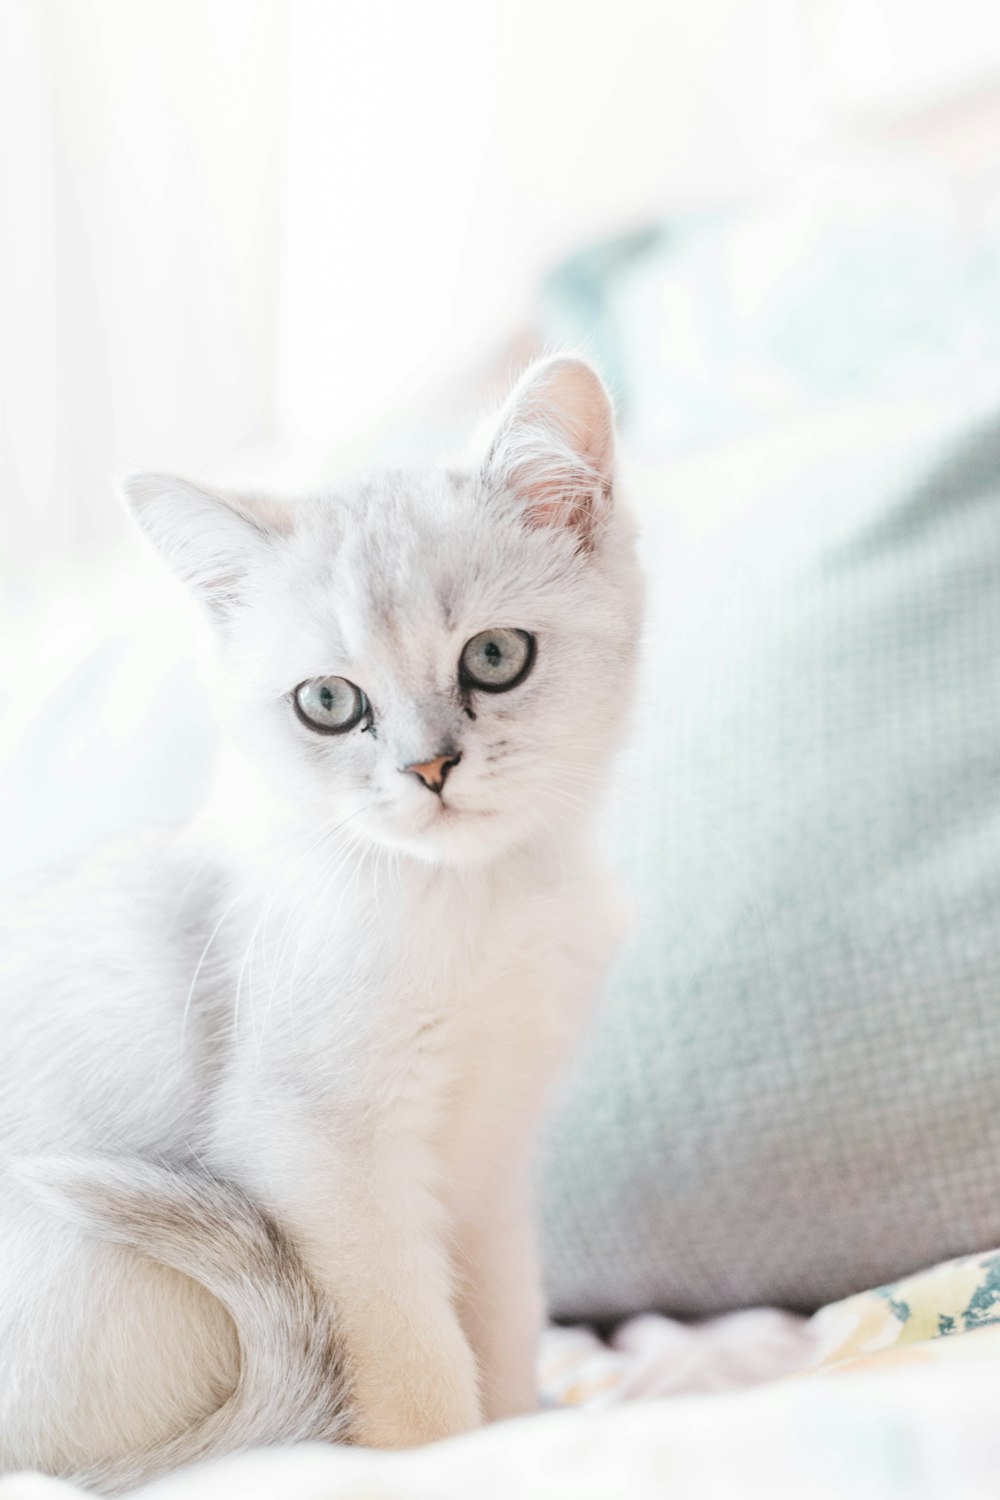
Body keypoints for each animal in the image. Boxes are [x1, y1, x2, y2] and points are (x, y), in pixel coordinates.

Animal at [0, 354, 641, 1488]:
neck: (476, 905)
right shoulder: (321, 1157)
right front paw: (446, 1466)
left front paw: (523, 1437)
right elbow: (422, 1374)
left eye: (495, 657)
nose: (429, 769)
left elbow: (501, 1328)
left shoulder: (485, 1166)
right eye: (330, 704)